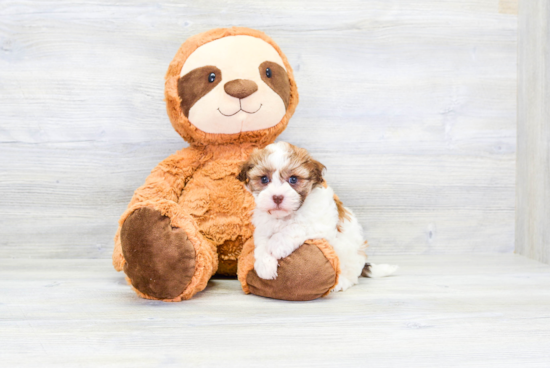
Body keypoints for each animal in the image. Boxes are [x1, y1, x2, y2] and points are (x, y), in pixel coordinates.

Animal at [239, 142, 398, 292]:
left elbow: (297, 226)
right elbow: (262, 244)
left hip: (348, 252)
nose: (277, 197)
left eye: (293, 179)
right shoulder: (263, 228)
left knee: (351, 274)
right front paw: (264, 265)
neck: (286, 216)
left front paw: (277, 244)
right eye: (264, 179)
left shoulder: (321, 223)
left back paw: (341, 282)